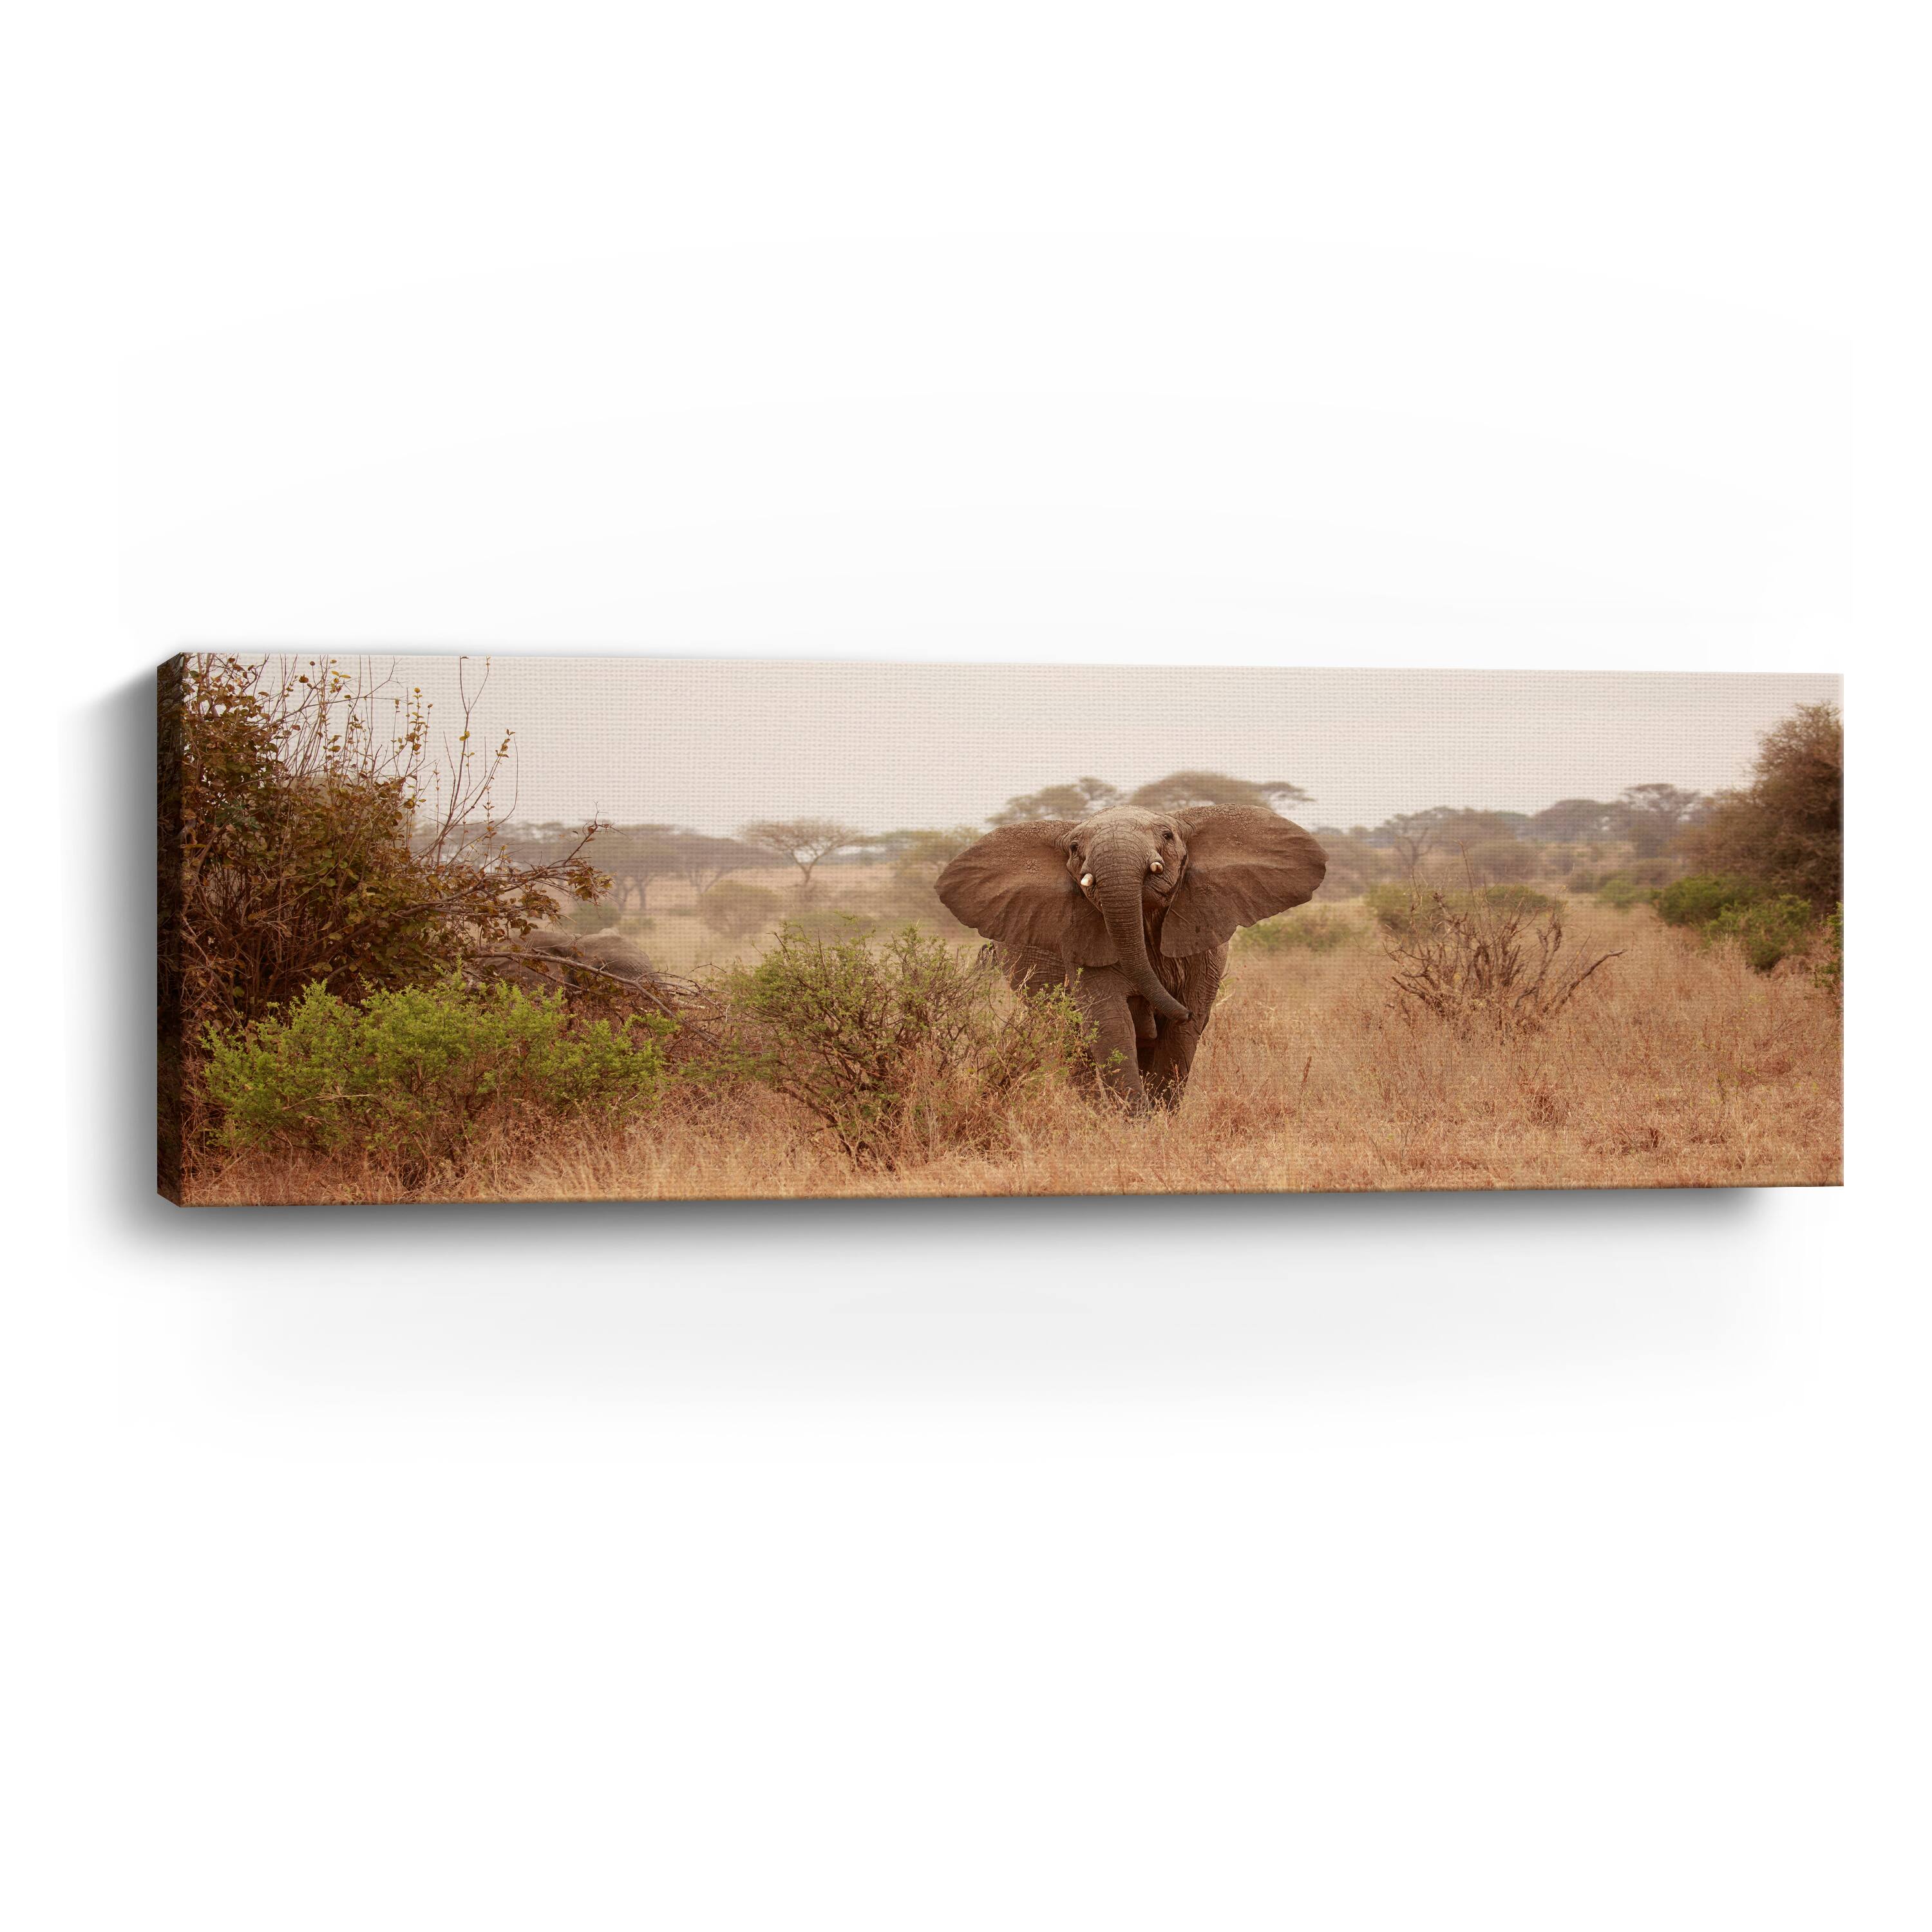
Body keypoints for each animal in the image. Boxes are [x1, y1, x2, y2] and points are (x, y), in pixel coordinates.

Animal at [936, 805, 1326, 1109]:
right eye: (1074, 847)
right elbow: (1111, 1024)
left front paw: (1159, 1121)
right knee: (1069, 1042)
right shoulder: (1085, 946)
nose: (1177, 1009)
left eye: (1167, 835)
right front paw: (1134, 1126)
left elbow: (1182, 1033)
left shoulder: (1204, 949)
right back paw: (1095, 1116)